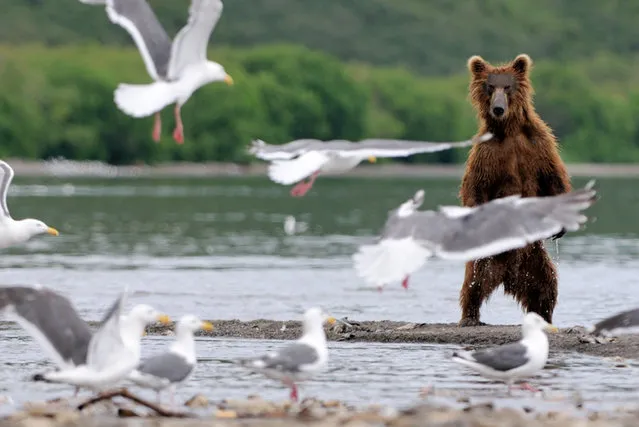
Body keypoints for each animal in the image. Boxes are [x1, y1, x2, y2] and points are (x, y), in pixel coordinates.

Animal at [458, 53, 572, 328]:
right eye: (490, 87)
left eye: (507, 86)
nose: (498, 108)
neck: (508, 129)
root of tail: (508, 275)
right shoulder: (487, 155)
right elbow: (475, 188)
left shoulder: (538, 145)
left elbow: (553, 176)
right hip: (488, 258)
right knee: (473, 282)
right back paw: (470, 316)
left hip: (534, 259)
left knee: (546, 286)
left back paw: (544, 317)